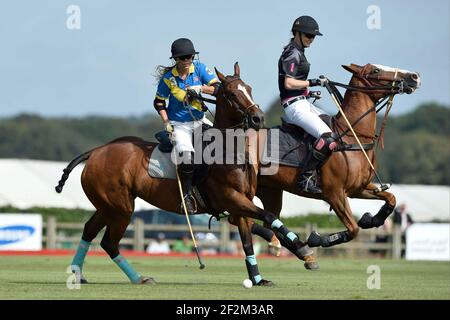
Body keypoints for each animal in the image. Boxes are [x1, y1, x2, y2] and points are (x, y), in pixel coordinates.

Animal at [55, 62, 316, 284]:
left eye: (249, 88)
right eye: (232, 94)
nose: (258, 118)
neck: (229, 153)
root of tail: (96, 152)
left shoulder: (240, 204)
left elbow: (248, 241)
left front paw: (259, 278)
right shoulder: (231, 198)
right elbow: (269, 216)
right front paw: (302, 247)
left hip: (106, 206)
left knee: (89, 230)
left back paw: (79, 274)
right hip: (121, 207)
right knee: (109, 242)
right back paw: (138, 278)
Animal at [244, 62, 420, 251]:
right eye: (375, 70)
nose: (415, 77)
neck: (353, 137)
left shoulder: (357, 188)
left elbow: (391, 198)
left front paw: (370, 219)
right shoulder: (335, 194)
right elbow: (353, 229)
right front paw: (316, 238)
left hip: (271, 191)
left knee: (267, 220)